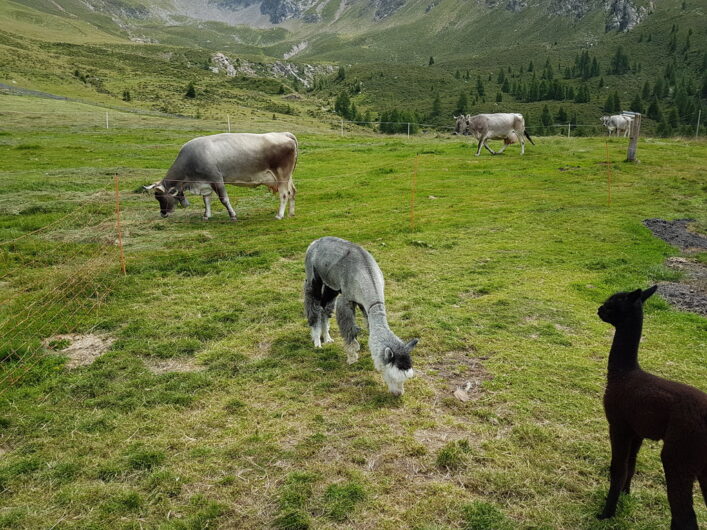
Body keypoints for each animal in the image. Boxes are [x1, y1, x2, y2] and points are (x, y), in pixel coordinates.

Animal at [144, 133, 298, 222]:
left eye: (161, 198)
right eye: (157, 198)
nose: (163, 214)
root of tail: (285, 134)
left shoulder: (216, 179)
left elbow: (224, 199)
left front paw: (233, 215)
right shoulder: (205, 183)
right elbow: (206, 200)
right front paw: (206, 215)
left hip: (282, 176)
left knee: (284, 194)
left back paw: (280, 215)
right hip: (288, 176)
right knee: (292, 192)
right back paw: (291, 213)